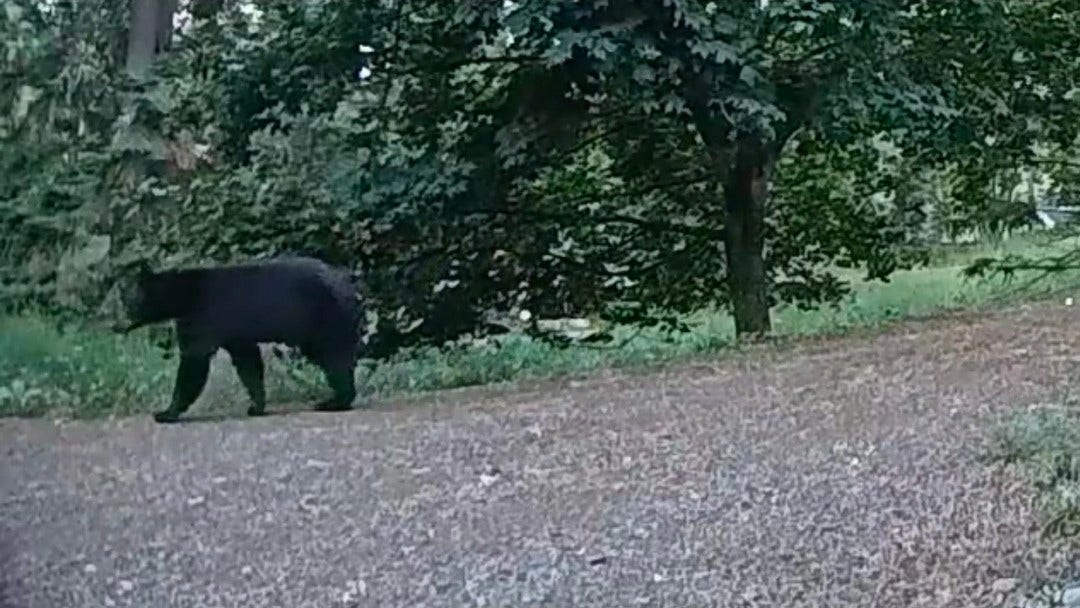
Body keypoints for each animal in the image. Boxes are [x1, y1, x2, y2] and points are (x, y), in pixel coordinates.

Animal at [113, 256, 363, 423]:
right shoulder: (236, 334)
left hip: (324, 319)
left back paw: (335, 401)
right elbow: (248, 364)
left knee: (334, 358)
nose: (116, 324)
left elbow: (193, 362)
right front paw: (256, 406)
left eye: (127, 302)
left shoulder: (202, 320)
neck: (183, 297)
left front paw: (166, 412)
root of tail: (348, 282)